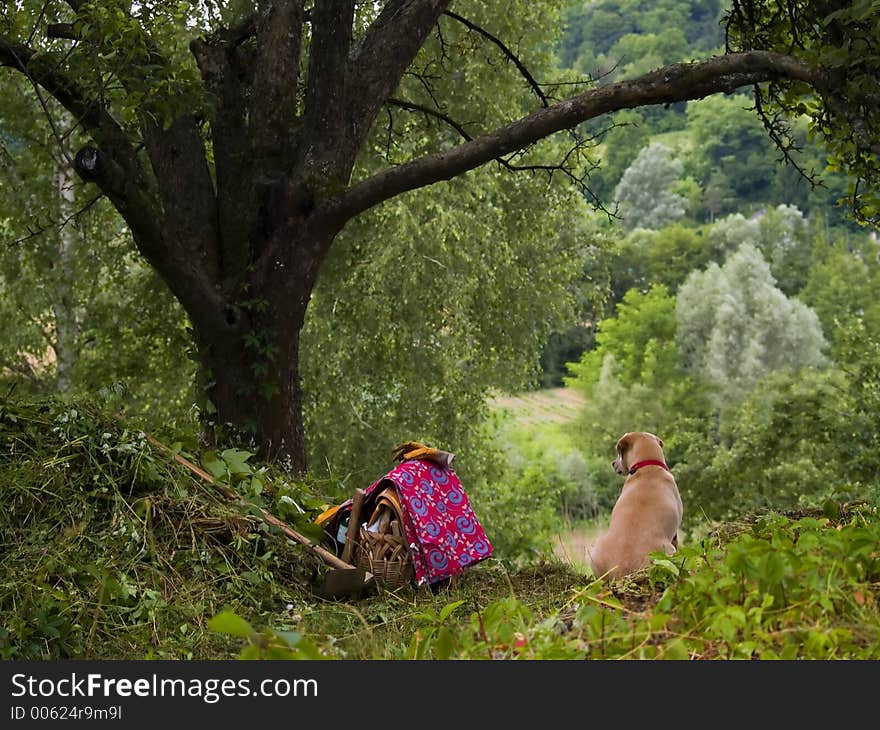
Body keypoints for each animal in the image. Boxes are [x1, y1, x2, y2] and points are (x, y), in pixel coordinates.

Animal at [588, 430, 684, 576]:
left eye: (619, 454)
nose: (613, 463)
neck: (648, 466)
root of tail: (622, 571)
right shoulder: (674, 535)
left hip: (596, 546)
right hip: (668, 552)